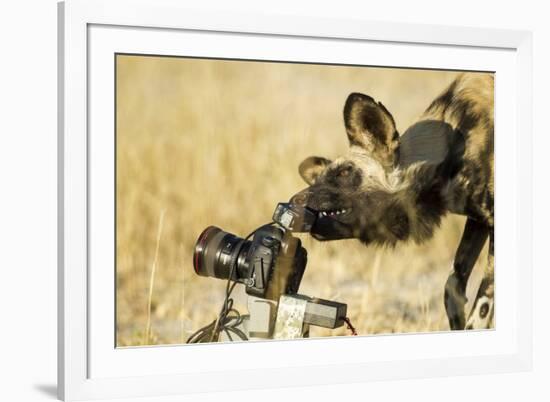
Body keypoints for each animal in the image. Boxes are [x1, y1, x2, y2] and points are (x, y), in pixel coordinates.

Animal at [294, 74, 496, 332]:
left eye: (345, 172)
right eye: (319, 177)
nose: (293, 201)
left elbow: (481, 308)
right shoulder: (479, 220)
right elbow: (452, 285)